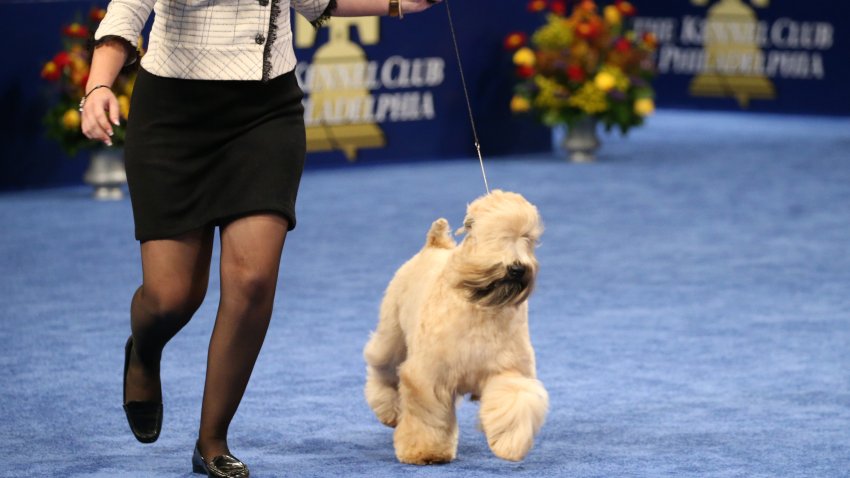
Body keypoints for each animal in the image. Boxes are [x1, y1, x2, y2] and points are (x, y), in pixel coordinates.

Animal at [362, 190, 548, 464]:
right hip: (391, 339)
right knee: (381, 370)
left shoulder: (507, 369)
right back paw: (389, 411)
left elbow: (516, 400)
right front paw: (425, 451)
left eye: (528, 238)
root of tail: (434, 245)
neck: (481, 308)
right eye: (493, 235)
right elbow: (427, 416)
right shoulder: (428, 375)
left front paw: (510, 442)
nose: (517, 268)